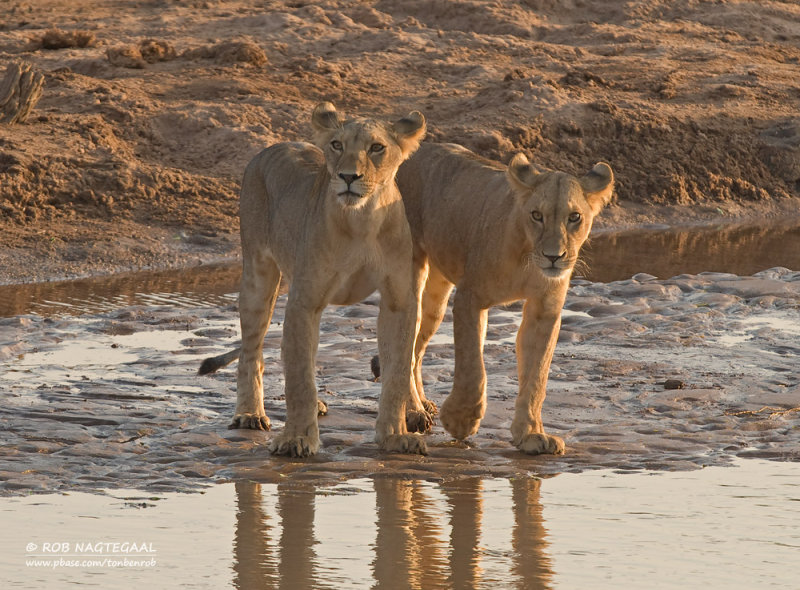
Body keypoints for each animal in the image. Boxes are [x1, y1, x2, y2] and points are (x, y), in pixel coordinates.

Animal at [198, 104, 428, 460]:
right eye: (336, 145)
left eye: (377, 147)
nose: (348, 177)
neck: (362, 220)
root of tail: (272, 147)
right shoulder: (303, 301)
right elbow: (299, 378)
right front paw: (296, 438)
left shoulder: (399, 301)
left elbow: (398, 371)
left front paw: (395, 435)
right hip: (259, 272)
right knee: (252, 351)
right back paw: (250, 414)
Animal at [396, 141, 616, 456]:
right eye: (537, 215)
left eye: (574, 217)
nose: (553, 257)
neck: (527, 257)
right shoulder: (470, 297)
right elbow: (473, 366)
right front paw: (461, 419)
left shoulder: (544, 310)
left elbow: (537, 376)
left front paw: (532, 434)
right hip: (411, 272)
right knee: (406, 343)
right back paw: (413, 411)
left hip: (436, 296)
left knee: (416, 348)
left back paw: (423, 405)